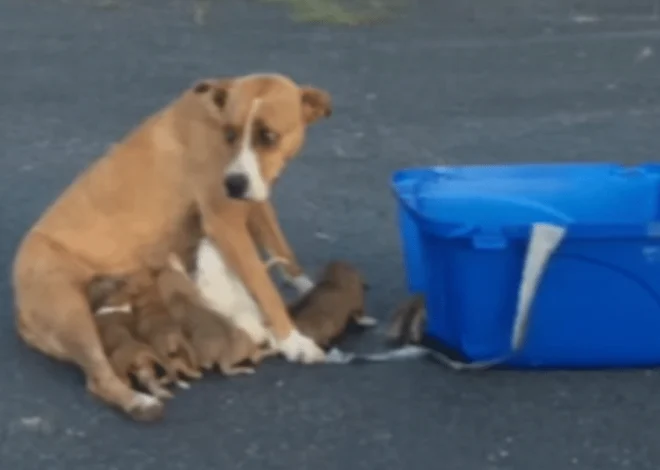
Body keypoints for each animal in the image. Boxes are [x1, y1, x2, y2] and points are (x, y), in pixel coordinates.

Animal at [14, 73, 336, 422]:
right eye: (230, 134)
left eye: (268, 136)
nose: (233, 184)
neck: (214, 115)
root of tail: (19, 310)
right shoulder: (225, 222)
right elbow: (264, 287)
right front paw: (294, 342)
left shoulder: (254, 203)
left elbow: (284, 253)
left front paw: (312, 291)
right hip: (72, 314)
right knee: (99, 378)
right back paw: (139, 402)